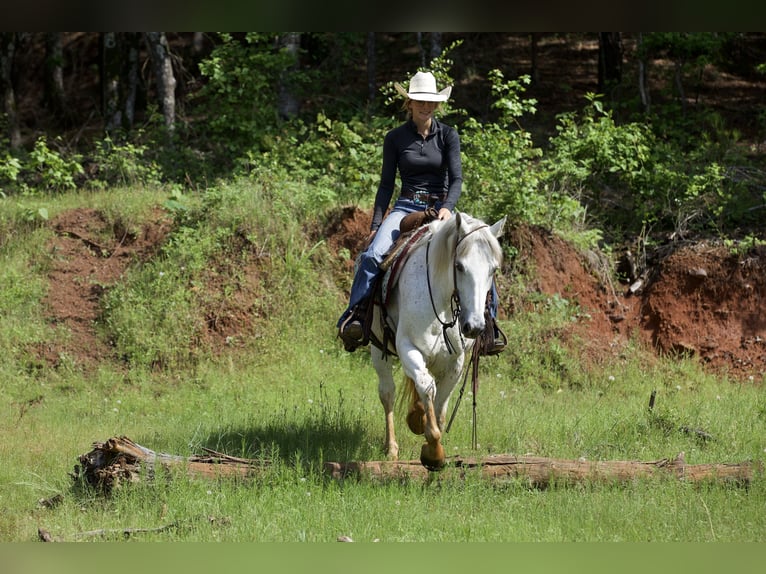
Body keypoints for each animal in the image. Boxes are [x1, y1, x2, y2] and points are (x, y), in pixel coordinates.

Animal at [370, 212, 508, 472]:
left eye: (493, 270)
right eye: (459, 266)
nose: (474, 326)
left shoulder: (456, 362)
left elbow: (441, 406)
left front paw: (428, 432)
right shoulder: (408, 348)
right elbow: (427, 387)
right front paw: (434, 453)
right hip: (377, 349)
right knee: (388, 393)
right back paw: (391, 448)